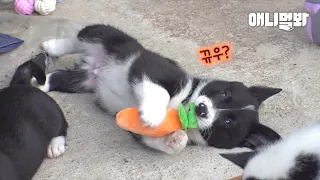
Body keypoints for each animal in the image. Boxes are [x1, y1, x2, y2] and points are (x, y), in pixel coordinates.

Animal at [38, 23, 282, 155]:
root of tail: (92, 66)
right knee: (82, 37)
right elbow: (161, 91)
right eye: (223, 94)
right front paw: (153, 115)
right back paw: (52, 45)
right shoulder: (155, 68)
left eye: (229, 123)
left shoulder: (139, 134)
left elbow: (156, 140)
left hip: (82, 82)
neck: (182, 105)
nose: (202, 109)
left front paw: (176, 140)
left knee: (59, 78)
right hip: (107, 36)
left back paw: (39, 81)